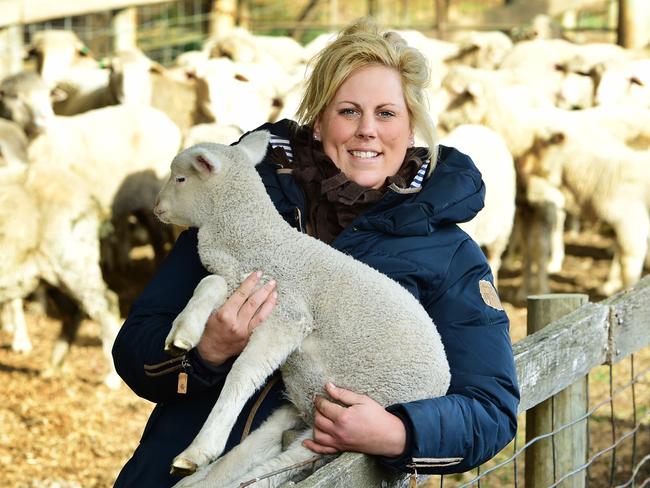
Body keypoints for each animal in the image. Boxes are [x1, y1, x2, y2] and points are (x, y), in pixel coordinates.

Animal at [0, 164, 121, 388]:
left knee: (106, 304)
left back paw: (112, 378)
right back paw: (54, 366)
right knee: (73, 312)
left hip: (71, 257)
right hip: (52, 273)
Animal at [153, 132, 448, 486]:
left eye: (180, 179)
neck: (253, 239)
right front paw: (183, 333)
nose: (157, 208)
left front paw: (203, 447)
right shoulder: (248, 282)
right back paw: (197, 478)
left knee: (282, 465)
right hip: (303, 405)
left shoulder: (290, 315)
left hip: (351, 419)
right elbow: (208, 283)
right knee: (258, 447)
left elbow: (242, 372)